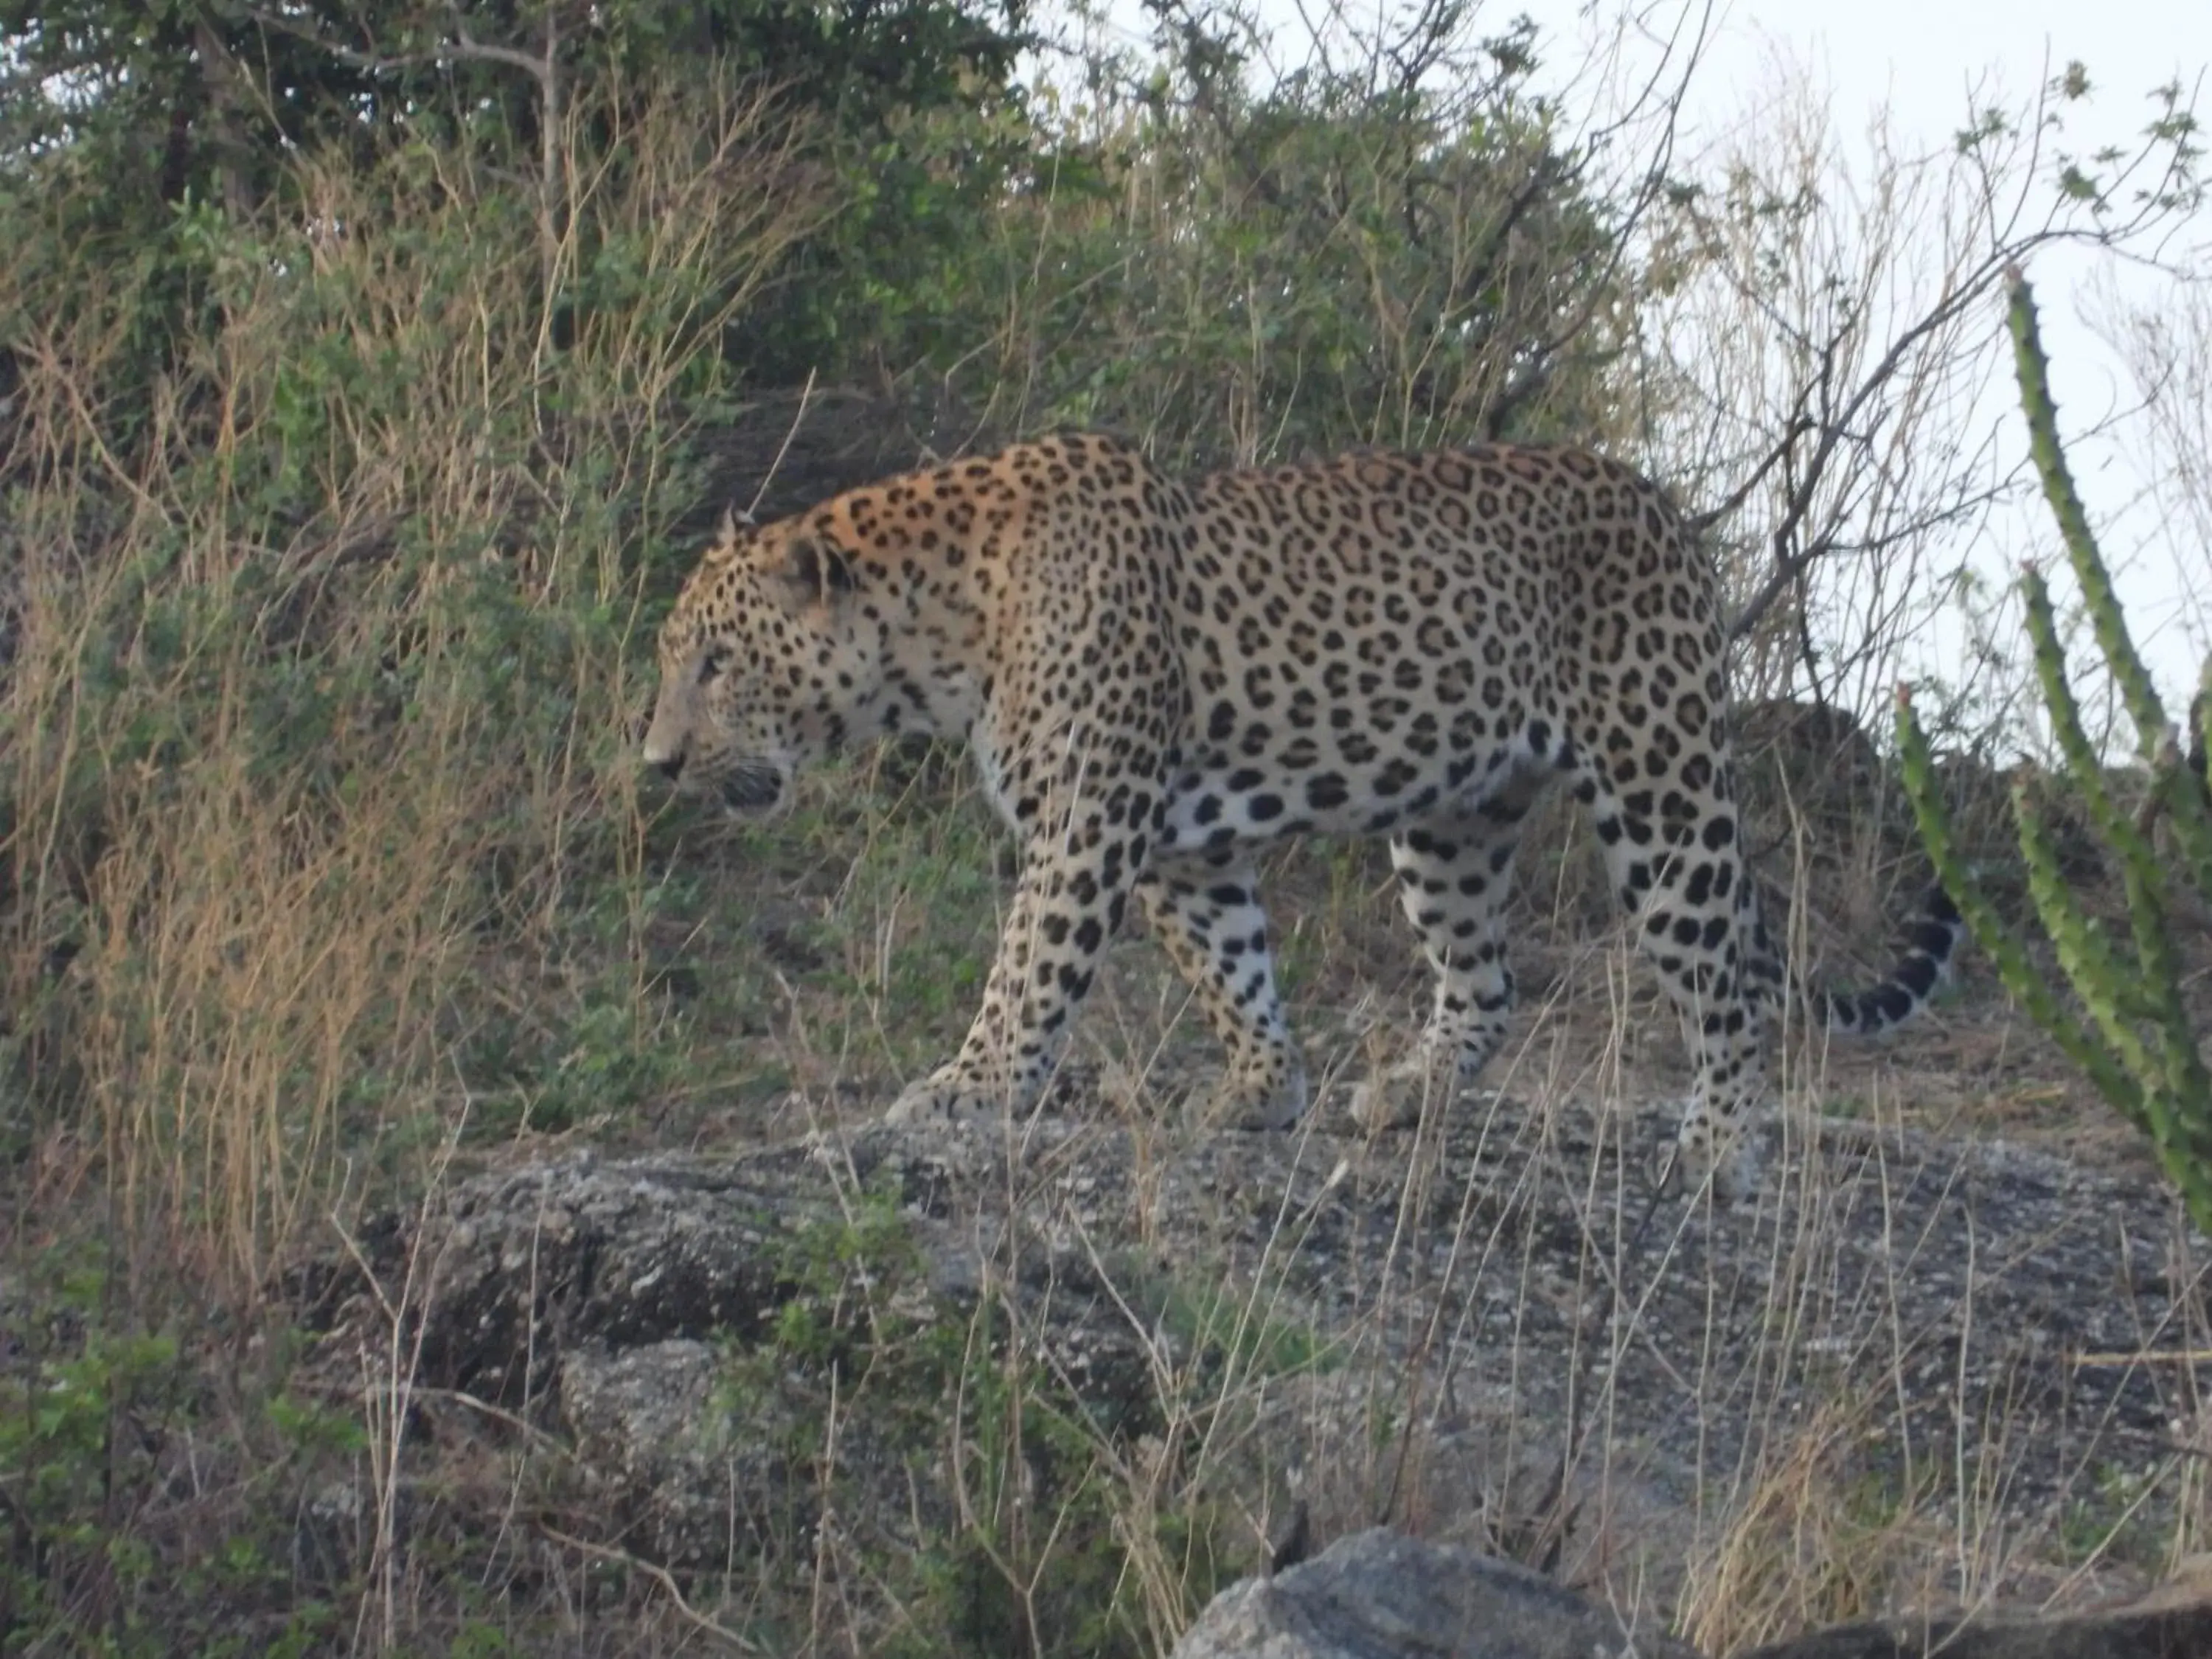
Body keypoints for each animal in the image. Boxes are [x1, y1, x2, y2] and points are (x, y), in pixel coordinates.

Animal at [642, 431, 1963, 1196]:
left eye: (714, 662)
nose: (655, 762)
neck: (942, 630)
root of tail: (1664, 508)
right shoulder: (1176, 848)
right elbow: (1233, 971)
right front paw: (1264, 1092)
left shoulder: (1089, 821)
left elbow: (1027, 968)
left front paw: (969, 1087)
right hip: (1453, 816)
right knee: (1488, 980)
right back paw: (1409, 1092)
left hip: (1660, 778)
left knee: (1724, 981)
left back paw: (1719, 1148)